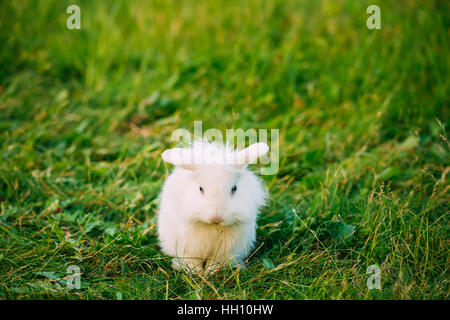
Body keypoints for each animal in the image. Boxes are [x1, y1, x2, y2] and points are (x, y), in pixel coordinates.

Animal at [158, 141, 268, 274]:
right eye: (201, 189)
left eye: (234, 188)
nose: (216, 217)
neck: (213, 226)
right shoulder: (187, 247)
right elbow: (191, 260)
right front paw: (196, 272)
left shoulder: (225, 250)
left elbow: (216, 262)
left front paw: (210, 272)